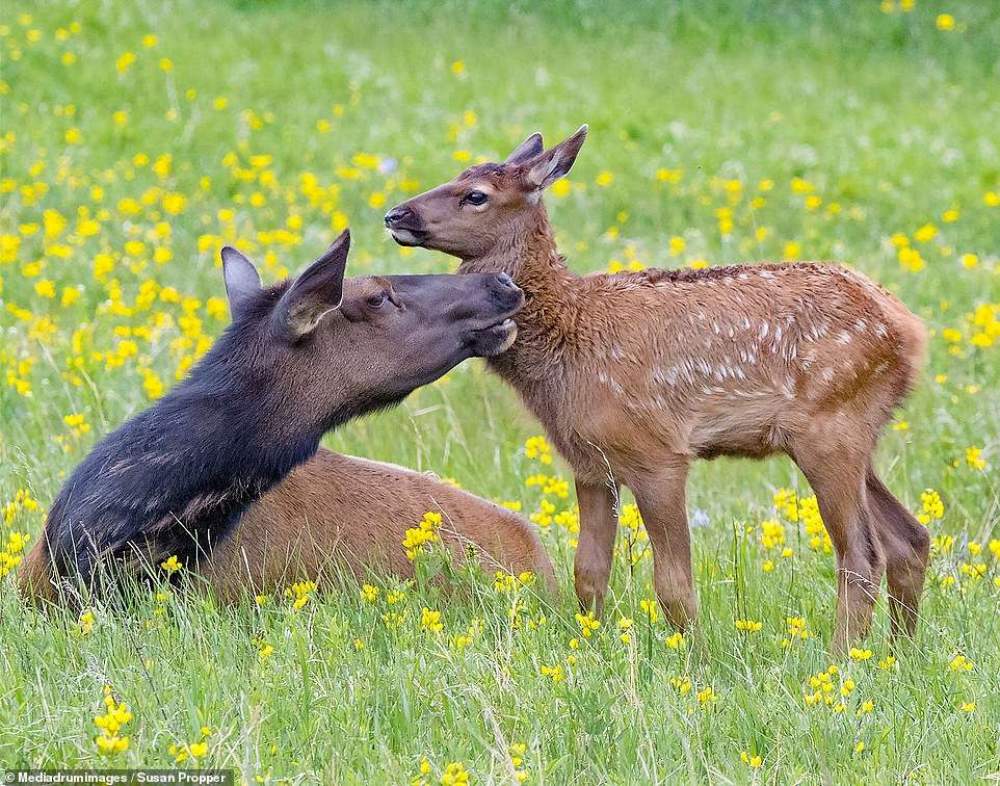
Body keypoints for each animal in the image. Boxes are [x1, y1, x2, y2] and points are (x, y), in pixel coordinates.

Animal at [388, 124, 928, 648]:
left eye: (475, 195)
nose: (396, 213)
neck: (568, 336)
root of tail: (910, 330)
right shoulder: (591, 464)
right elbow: (588, 572)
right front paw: (592, 646)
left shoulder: (658, 452)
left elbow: (673, 584)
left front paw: (695, 658)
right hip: (852, 433)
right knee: (910, 537)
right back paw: (898, 652)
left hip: (830, 426)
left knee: (862, 553)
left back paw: (842, 658)